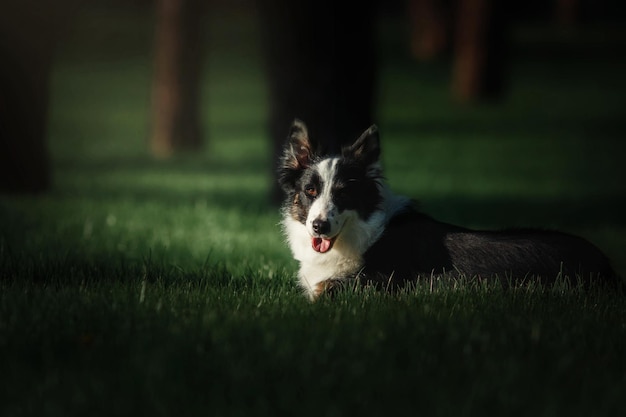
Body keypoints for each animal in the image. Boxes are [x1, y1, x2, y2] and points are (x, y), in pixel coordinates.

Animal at [276, 118, 616, 298]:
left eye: (344, 193)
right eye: (309, 191)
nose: (319, 226)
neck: (363, 235)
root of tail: (608, 266)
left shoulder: (377, 283)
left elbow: (323, 290)